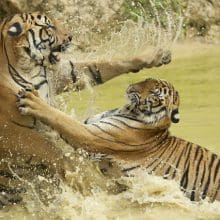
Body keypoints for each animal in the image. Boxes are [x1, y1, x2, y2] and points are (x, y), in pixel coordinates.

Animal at [0, 12, 170, 207]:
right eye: (49, 27)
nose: (70, 37)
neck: (32, 70)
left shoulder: (65, 73)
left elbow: (103, 65)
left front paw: (156, 55)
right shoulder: (9, 132)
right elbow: (45, 146)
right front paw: (81, 176)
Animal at [16, 78, 220, 203]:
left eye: (155, 94)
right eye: (147, 80)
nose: (132, 88)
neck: (127, 109)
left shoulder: (90, 135)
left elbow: (61, 118)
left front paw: (33, 100)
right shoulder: (89, 125)